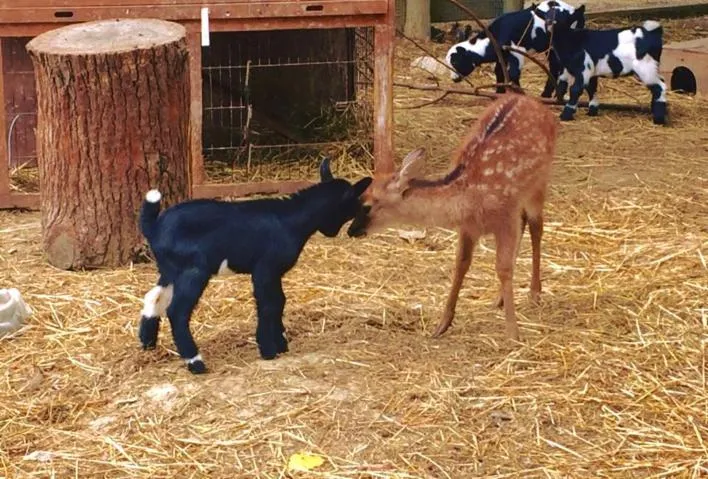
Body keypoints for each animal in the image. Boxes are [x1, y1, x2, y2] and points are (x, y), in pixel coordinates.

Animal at [135, 161, 374, 376]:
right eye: (353, 207)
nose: (333, 232)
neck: (292, 219)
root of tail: (154, 227)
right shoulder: (265, 269)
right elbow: (269, 304)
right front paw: (268, 349)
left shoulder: (274, 272)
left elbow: (280, 301)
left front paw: (281, 343)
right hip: (193, 270)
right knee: (177, 311)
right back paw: (196, 362)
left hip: (170, 269)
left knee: (153, 296)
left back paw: (148, 342)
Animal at [348, 94, 560, 342]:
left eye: (367, 205)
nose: (351, 230)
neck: (469, 199)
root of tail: (530, 100)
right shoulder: (468, 227)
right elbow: (461, 264)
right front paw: (441, 325)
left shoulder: (505, 216)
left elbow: (503, 268)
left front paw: (513, 333)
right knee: (526, 222)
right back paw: (500, 298)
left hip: (540, 181)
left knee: (537, 225)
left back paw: (535, 292)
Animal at [442, 0, 588, 97]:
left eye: (455, 61)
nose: (453, 79)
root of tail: (577, 12)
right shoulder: (502, 54)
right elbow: (499, 71)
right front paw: (499, 92)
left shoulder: (517, 50)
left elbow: (513, 73)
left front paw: (518, 94)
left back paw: (550, 95)